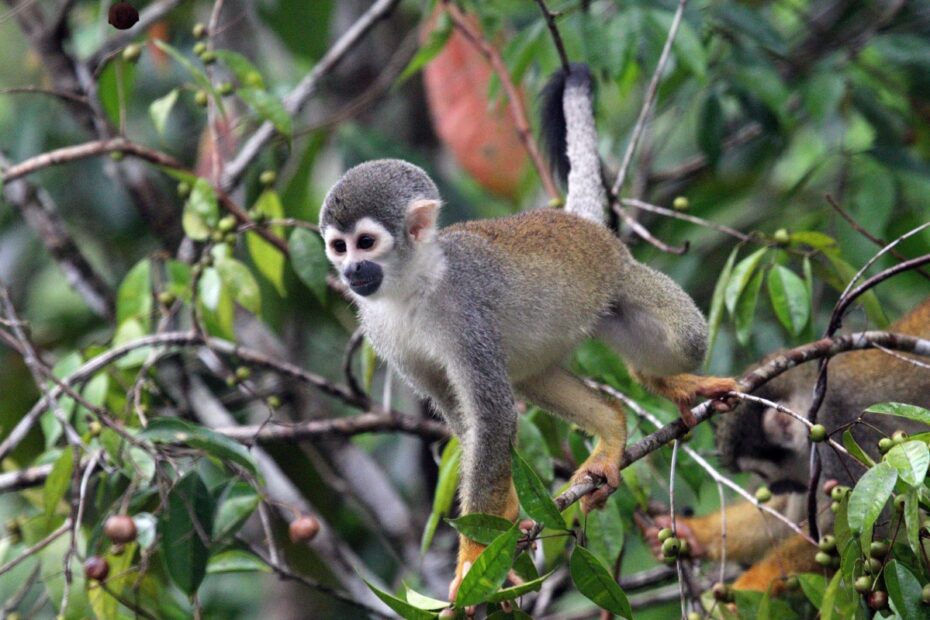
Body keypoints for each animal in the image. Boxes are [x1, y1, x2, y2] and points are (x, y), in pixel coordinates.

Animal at [316, 65, 736, 600]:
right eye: (338, 247)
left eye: (366, 243)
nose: (351, 272)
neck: (412, 285)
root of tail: (578, 222)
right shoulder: (379, 331)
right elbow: (471, 422)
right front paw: (508, 516)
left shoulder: (465, 311)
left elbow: (492, 416)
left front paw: (472, 559)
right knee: (531, 379)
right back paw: (611, 425)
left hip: (620, 280)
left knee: (686, 338)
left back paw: (663, 381)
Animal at [644, 298, 928, 592]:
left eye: (763, 473)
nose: (774, 488)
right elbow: (784, 518)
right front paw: (694, 532)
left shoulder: (842, 424)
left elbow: (870, 525)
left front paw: (746, 587)